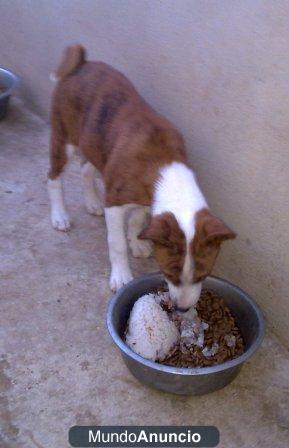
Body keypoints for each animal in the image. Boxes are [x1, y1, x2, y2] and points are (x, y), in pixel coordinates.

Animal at [48, 46, 235, 312]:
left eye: (203, 275)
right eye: (168, 274)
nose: (182, 309)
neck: (165, 165)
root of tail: (81, 63)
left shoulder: (147, 201)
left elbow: (137, 221)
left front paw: (137, 241)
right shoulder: (115, 203)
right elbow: (116, 243)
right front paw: (121, 275)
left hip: (95, 144)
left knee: (86, 169)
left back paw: (92, 202)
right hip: (64, 140)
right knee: (53, 178)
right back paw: (59, 216)